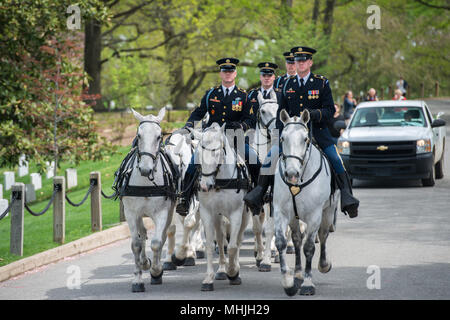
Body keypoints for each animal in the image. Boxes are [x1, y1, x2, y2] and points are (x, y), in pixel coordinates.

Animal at [123, 108, 176, 292]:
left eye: (159, 136)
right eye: (138, 136)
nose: (145, 169)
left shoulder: (162, 212)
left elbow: (157, 242)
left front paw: (156, 270)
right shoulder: (131, 213)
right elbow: (136, 244)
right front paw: (137, 279)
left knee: (163, 235)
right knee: (142, 234)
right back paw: (144, 261)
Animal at [192, 122, 251, 290]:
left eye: (216, 152)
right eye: (199, 153)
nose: (205, 186)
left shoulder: (236, 213)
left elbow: (232, 246)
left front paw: (233, 272)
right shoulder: (207, 213)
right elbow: (211, 246)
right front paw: (208, 278)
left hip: (245, 215)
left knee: (237, 240)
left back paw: (233, 268)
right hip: (217, 216)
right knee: (220, 239)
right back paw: (221, 270)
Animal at [270, 109, 338, 296]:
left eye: (305, 139)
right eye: (282, 138)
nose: (291, 174)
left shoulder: (315, 215)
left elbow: (309, 247)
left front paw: (308, 283)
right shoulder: (281, 212)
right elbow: (281, 242)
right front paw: (288, 283)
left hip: (328, 213)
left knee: (323, 236)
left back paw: (323, 265)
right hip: (294, 218)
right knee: (296, 239)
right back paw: (298, 274)